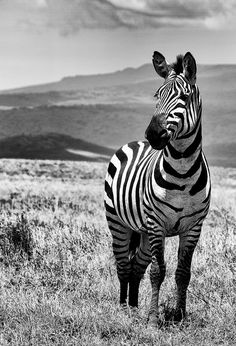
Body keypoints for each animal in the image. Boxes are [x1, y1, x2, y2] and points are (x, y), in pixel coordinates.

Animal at [104, 50, 211, 326]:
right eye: (156, 95)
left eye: (184, 97)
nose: (153, 135)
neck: (182, 172)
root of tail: (134, 142)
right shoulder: (156, 224)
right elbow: (157, 271)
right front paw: (153, 319)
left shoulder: (193, 227)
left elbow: (182, 273)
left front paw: (180, 316)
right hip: (118, 223)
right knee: (123, 265)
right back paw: (124, 308)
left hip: (141, 232)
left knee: (135, 267)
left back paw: (134, 306)